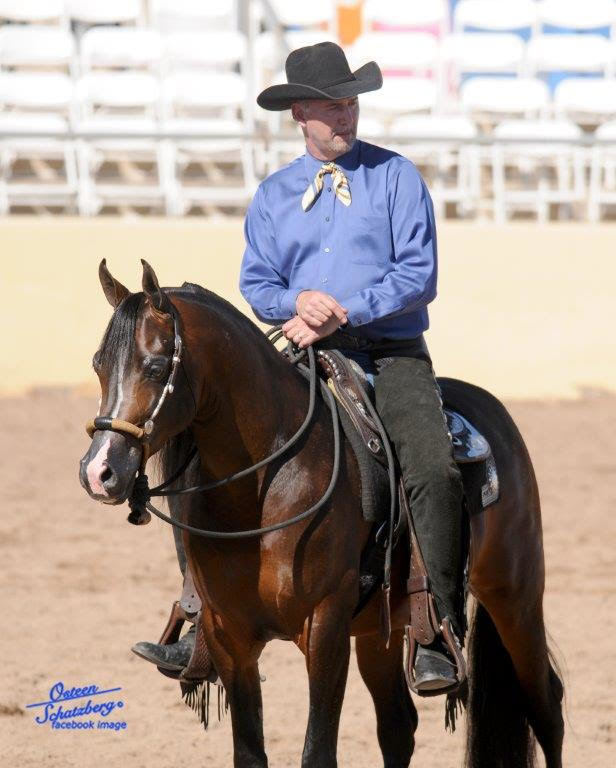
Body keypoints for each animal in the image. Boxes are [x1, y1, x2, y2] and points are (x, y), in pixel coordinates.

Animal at [79, 259, 564, 768]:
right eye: (98, 364)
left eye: (155, 367)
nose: (99, 471)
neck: (263, 494)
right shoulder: (229, 637)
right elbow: (250, 752)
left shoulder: (325, 629)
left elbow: (317, 751)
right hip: (380, 630)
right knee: (398, 726)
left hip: (516, 596)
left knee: (545, 704)